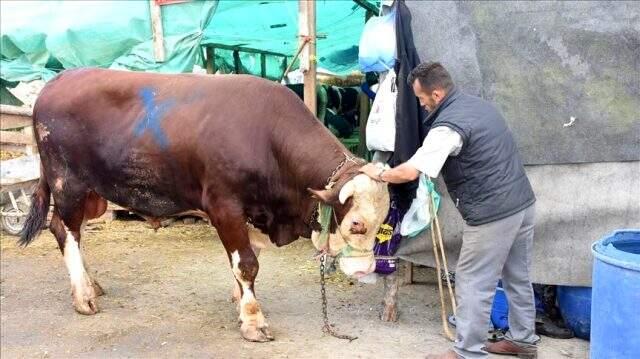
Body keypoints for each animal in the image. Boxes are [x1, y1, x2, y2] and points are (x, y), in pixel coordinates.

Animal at [18, 68, 390, 344]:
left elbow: (244, 261)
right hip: (68, 185)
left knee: (70, 231)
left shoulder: (253, 214)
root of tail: (57, 80)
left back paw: (91, 283)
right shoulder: (224, 207)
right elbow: (247, 265)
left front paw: (241, 304)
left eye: (383, 223)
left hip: (93, 194)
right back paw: (83, 296)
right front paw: (253, 321)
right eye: (355, 223)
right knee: (66, 231)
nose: (365, 270)